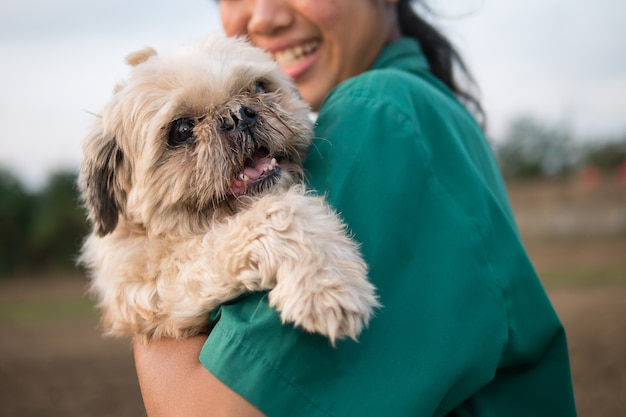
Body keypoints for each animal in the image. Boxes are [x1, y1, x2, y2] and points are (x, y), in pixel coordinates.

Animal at [80, 36, 378, 344]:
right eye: (181, 130)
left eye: (258, 87)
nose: (238, 115)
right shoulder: (150, 284)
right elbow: (278, 215)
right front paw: (327, 288)